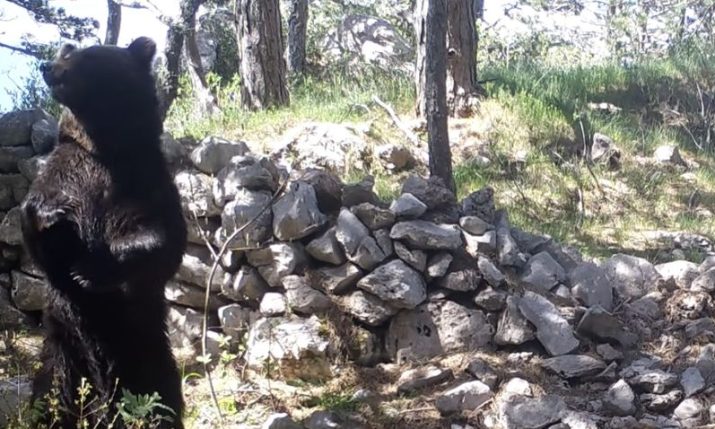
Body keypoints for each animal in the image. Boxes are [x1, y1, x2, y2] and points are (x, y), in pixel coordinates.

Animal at [20, 37, 187, 429]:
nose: (48, 67)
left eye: (82, 54)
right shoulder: (59, 175)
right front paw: (53, 218)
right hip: (61, 353)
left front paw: (91, 270)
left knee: (161, 398)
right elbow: (36, 232)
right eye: (65, 51)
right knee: (49, 398)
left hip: (147, 350)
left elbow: (162, 241)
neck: (103, 146)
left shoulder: (144, 184)